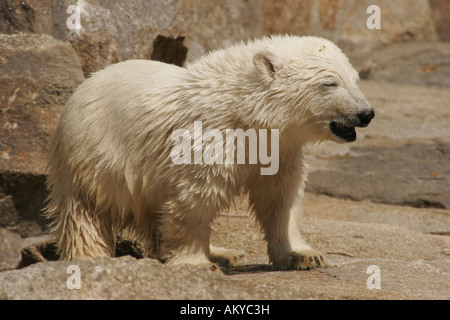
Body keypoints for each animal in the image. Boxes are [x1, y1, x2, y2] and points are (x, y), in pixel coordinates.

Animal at [45, 35, 374, 270]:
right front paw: (196, 264)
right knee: (85, 215)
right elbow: (194, 199)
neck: (244, 112)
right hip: (92, 159)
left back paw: (224, 253)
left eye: (355, 79)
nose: (366, 113)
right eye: (329, 83)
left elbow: (281, 197)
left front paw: (304, 255)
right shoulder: (209, 140)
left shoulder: (280, 150)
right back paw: (91, 258)